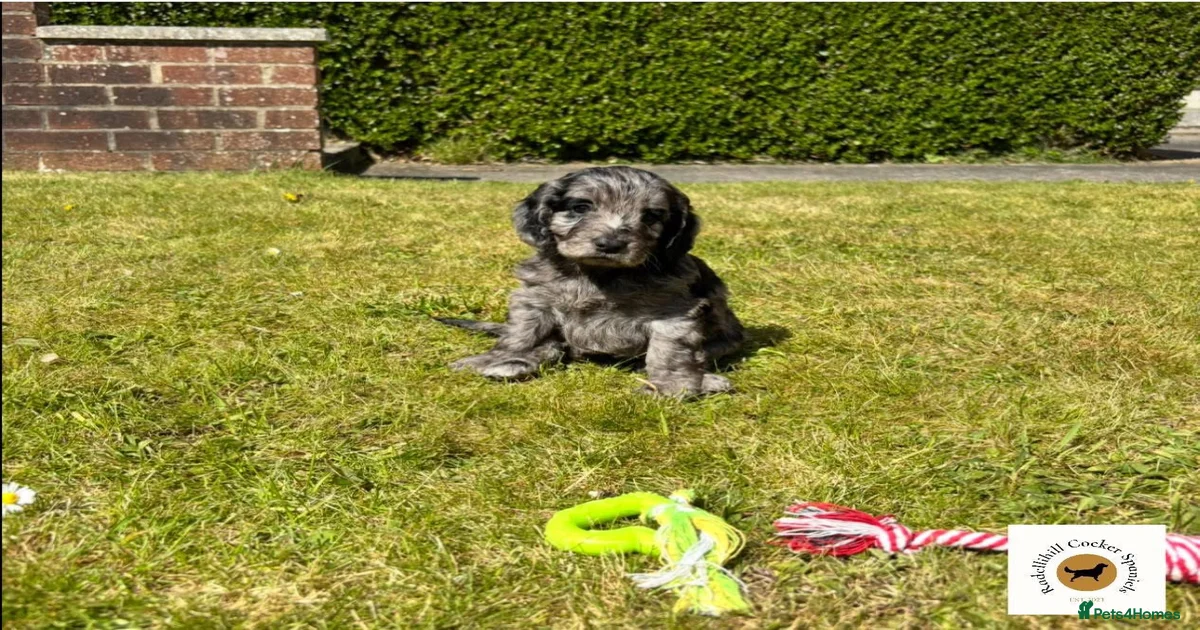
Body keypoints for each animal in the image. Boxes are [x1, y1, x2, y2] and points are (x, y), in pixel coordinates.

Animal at [439, 166, 744, 397]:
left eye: (651, 216)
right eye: (581, 207)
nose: (611, 244)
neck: (598, 275)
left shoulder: (674, 313)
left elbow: (668, 352)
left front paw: (669, 385)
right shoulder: (535, 299)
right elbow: (521, 336)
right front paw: (501, 358)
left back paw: (709, 380)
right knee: (553, 346)